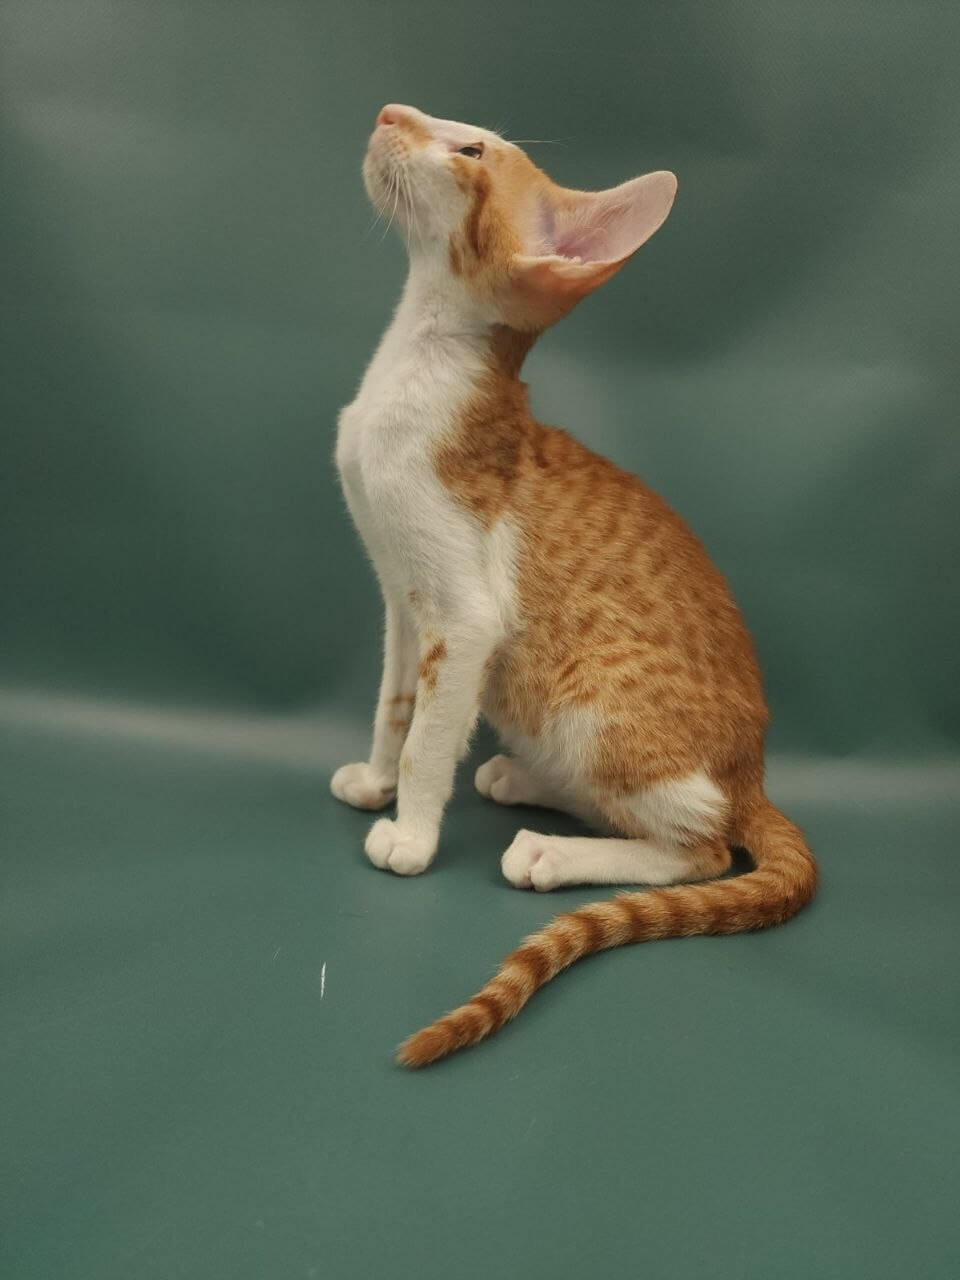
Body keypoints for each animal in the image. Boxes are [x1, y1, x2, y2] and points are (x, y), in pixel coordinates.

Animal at [333, 104, 818, 1067]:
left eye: (469, 150)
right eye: (453, 127)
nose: (389, 113)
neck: (411, 368)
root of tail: (754, 774)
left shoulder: (464, 613)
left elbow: (428, 738)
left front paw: (411, 833)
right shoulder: (401, 597)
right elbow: (395, 707)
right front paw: (375, 780)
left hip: (592, 690)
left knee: (705, 845)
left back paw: (553, 854)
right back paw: (525, 781)